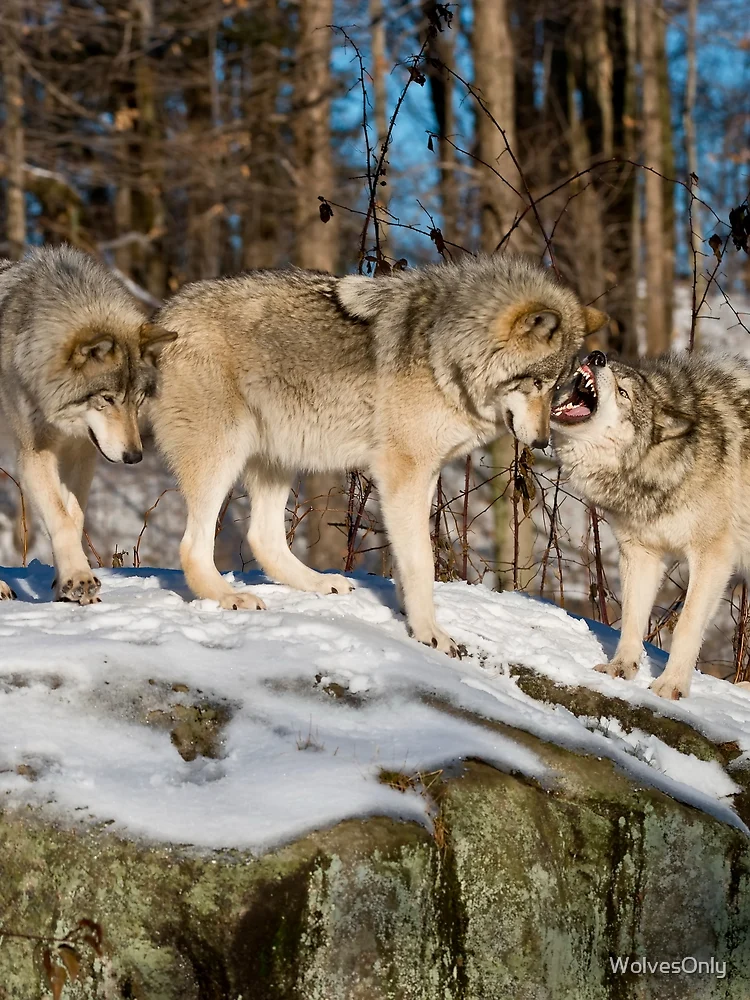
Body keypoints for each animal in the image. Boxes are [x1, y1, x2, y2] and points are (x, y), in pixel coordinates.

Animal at [0, 245, 176, 604]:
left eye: (137, 399)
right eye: (107, 399)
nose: (134, 457)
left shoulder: (82, 452)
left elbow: (74, 515)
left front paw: (66, 585)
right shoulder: (34, 454)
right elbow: (61, 519)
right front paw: (79, 579)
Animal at [152, 254, 606, 654]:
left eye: (558, 386)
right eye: (537, 383)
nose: (543, 443)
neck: (446, 354)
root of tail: (162, 317)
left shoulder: (424, 475)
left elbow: (408, 560)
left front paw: (411, 618)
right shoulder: (402, 472)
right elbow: (422, 561)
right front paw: (430, 634)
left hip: (281, 458)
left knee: (262, 538)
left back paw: (319, 583)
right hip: (223, 455)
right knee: (193, 546)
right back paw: (228, 596)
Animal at [551, 348, 750, 699]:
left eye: (624, 393)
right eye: (611, 372)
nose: (597, 356)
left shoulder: (713, 557)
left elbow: (687, 624)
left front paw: (671, 685)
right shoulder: (640, 552)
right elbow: (632, 617)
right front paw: (621, 668)